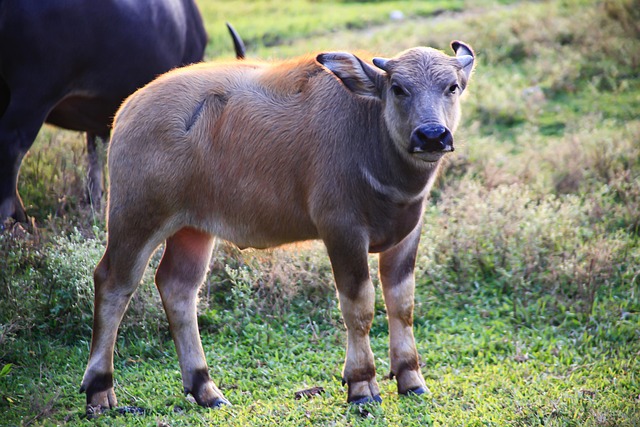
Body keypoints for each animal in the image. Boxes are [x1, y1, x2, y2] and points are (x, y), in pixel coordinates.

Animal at [0, 0, 208, 224]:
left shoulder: (97, 116)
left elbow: (95, 152)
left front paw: (94, 199)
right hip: (36, 94)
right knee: (12, 145)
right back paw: (16, 219)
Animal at [80, 40, 475, 413]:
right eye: (398, 88)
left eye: (452, 86)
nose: (432, 135)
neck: (372, 138)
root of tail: (127, 109)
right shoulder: (342, 231)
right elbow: (359, 306)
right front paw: (362, 385)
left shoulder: (407, 233)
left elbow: (402, 303)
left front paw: (411, 379)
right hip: (136, 215)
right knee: (114, 283)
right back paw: (99, 390)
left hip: (192, 228)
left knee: (178, 287)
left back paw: (205, 388)